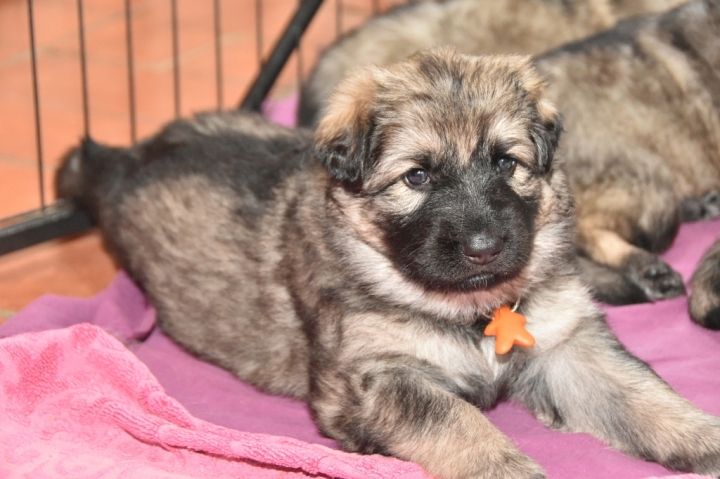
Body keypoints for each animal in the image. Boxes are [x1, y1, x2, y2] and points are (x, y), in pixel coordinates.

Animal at [58, 51, 720, 478]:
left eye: (506, 163)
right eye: (417, 177)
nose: (485, 246)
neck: (470, 307)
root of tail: (124, 160)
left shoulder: (567, 343)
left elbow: (641, 392)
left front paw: (704, 439)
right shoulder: (377, 377)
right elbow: (457, 422)